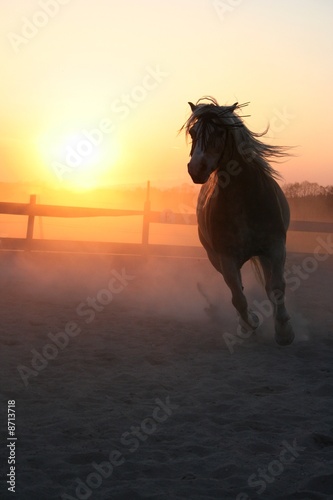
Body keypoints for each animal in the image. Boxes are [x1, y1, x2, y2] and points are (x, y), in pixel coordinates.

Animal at [182, 96, 294, 346]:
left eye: (219, 132)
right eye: (193, 132)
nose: (196, 169)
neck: (244, 201)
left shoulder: (274, 248)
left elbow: (277, 288)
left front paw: (284, 332)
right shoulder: (226, 258)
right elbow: (238, 297)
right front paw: (249, 323)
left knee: (268, 285)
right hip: (216, 258)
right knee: (237, 290)